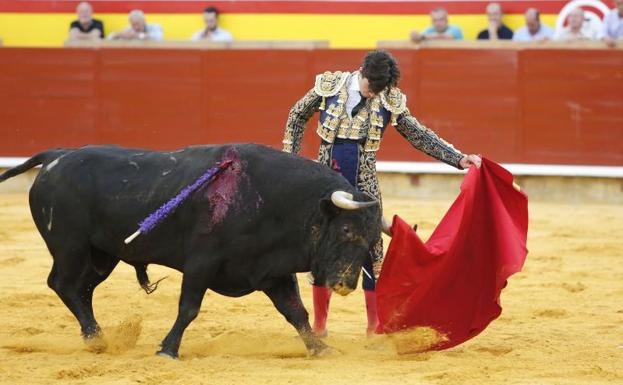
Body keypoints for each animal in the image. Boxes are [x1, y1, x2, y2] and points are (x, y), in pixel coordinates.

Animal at [0, 143, 382, 356]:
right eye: (346, 230)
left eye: (373, 239)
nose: (345, 284)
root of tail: (58, 157)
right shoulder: (201, 263)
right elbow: (188, 309)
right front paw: (168, 349)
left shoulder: (272, 271)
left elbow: (296, 313)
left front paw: (321, 348)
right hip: (70, 246)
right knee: (63, 284)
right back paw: (97, 339)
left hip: (102, 255)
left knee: (83, 289)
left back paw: (95, 336)